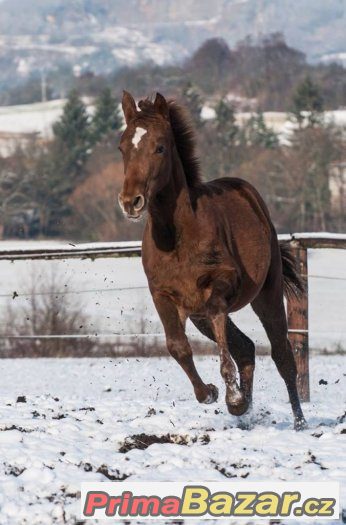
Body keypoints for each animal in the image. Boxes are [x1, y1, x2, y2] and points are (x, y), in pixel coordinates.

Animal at [118, 91, 306, 430]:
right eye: (123, 147)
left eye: (160, 147)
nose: (131, 202)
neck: (177, 236)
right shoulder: (163, 295)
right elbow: (178, 346)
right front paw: (212, 394)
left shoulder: (221, 285)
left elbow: (220, 324)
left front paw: (231, 394)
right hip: (197, 315)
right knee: (245, 348)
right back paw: (245, 412)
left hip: (267, 295)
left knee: (282, 355)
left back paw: (298, 422)